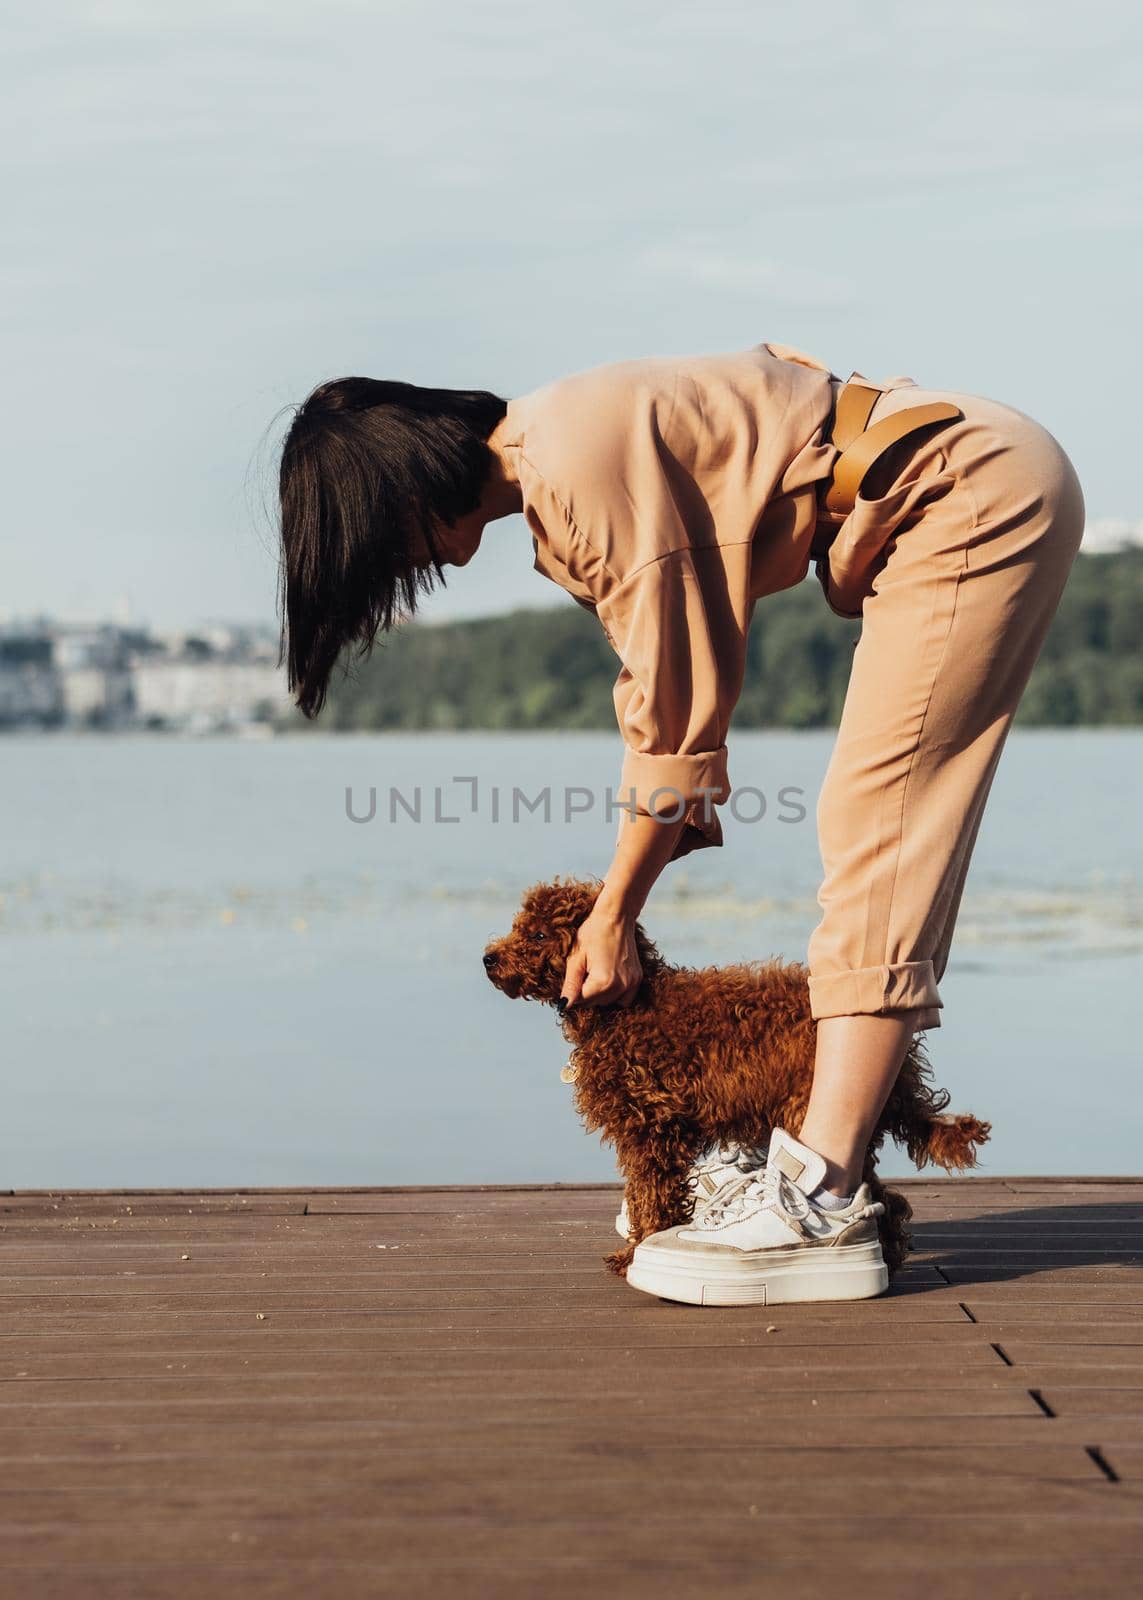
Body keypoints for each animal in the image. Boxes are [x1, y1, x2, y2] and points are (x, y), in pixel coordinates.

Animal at [480, 876, 986, 1273]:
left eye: (537, 933)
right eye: (518, 927)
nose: (488, 958)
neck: (624, 1010)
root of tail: (904, 1066)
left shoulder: (653, 1130)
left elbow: (652, 1196)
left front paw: (636, 1254)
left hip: (810, 1108)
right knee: (884, 1196)